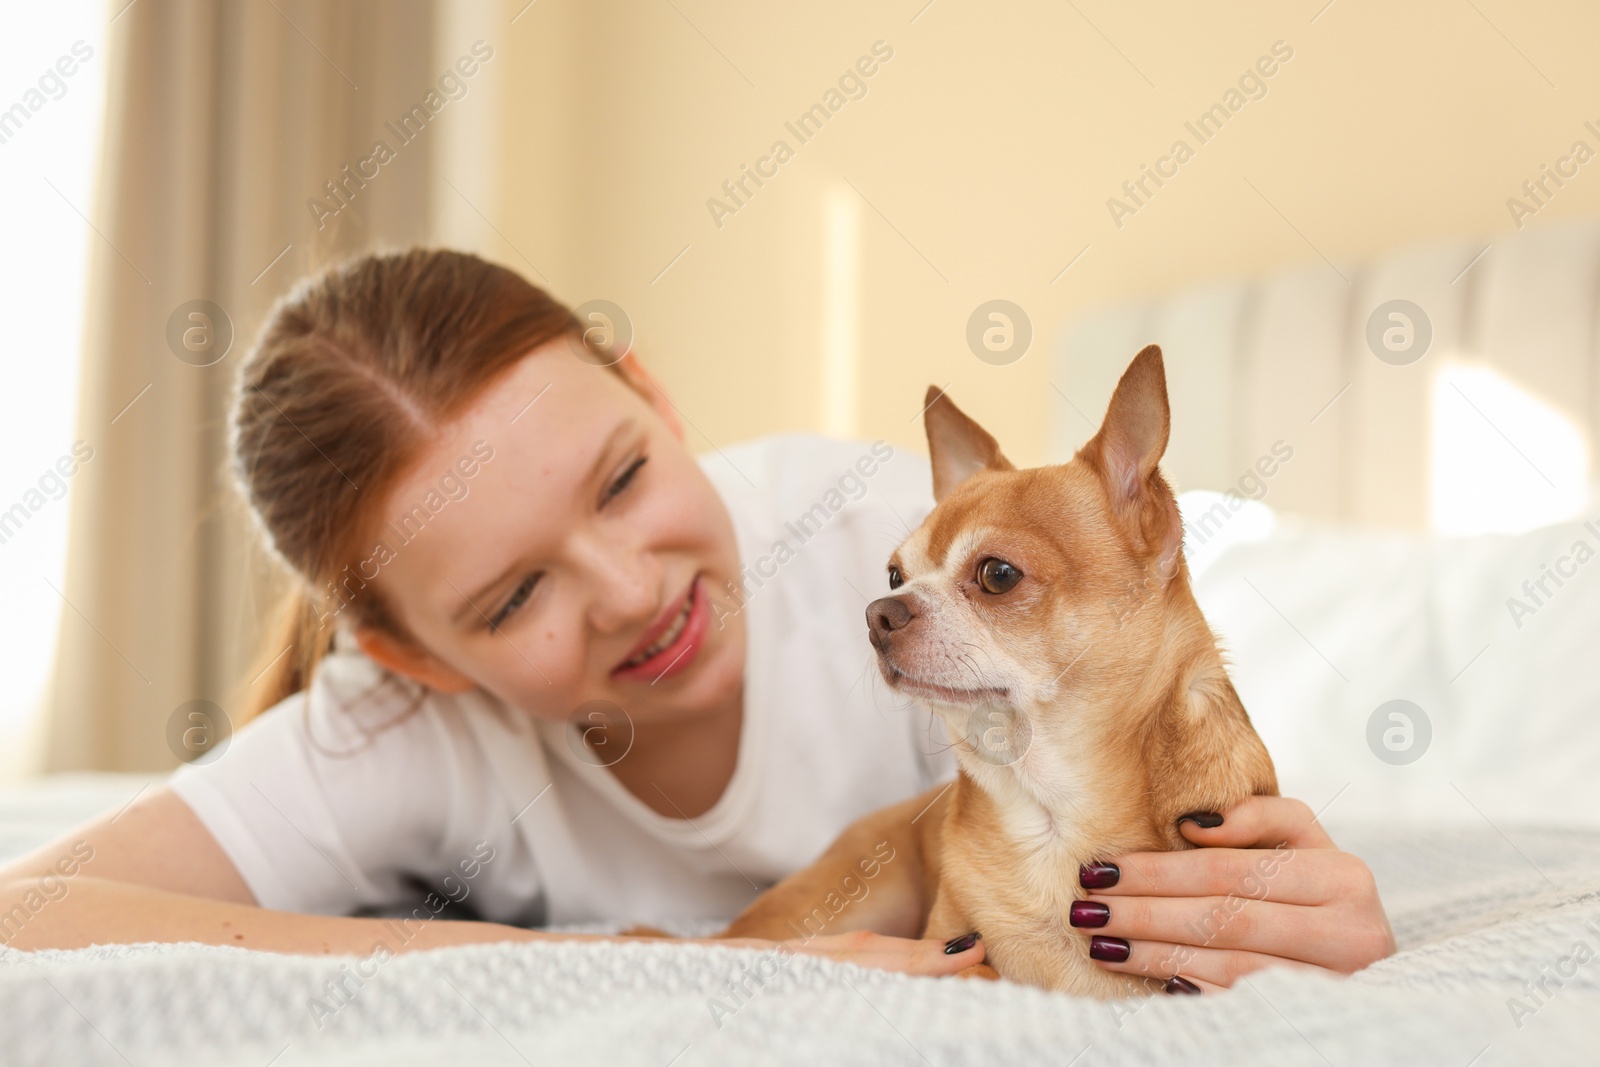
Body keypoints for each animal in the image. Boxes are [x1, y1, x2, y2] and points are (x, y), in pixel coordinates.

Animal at [720, 347, 1280, 998]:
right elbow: (980, 965)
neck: (1050, 814)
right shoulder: (950, 941)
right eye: (894, 575)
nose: (878, 613)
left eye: (998, 574)